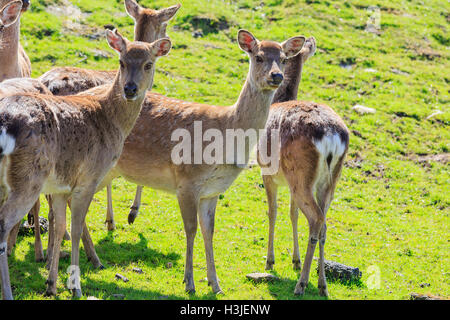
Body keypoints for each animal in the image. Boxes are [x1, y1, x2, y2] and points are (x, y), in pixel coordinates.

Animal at [0, 28, 172, 298]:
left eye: (148, 64)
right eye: (121, 62)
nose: (130, 89)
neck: (110, 120)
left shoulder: (61, 186)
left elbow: (60, 226)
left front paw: (51, 284)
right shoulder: (88, 179)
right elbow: (77, 227)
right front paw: (76, 287)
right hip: (26, 181)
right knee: (3, 225)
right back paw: (8, 292)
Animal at [256, 36, 352, 296]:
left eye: (283, 58)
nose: (275, 75)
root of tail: (331, 136)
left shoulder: (267, 171)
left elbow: (273, 211)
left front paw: (270, 261)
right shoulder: (289, 181)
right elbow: (293, 214)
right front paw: (295, 260)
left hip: (302, 175)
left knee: (316, 220)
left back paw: (302, 284)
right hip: (326, 180)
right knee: (324, 224)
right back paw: (322, 285)